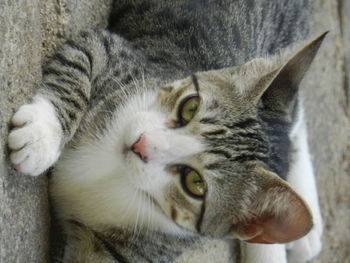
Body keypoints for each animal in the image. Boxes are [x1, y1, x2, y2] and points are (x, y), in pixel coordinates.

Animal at [6, 0, 324, 263]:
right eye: (190, 107)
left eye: (195, 183)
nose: (140, 143)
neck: (114, 172)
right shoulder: (112, 49)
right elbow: (80, 65)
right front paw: (41, 136)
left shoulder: (129, 252)